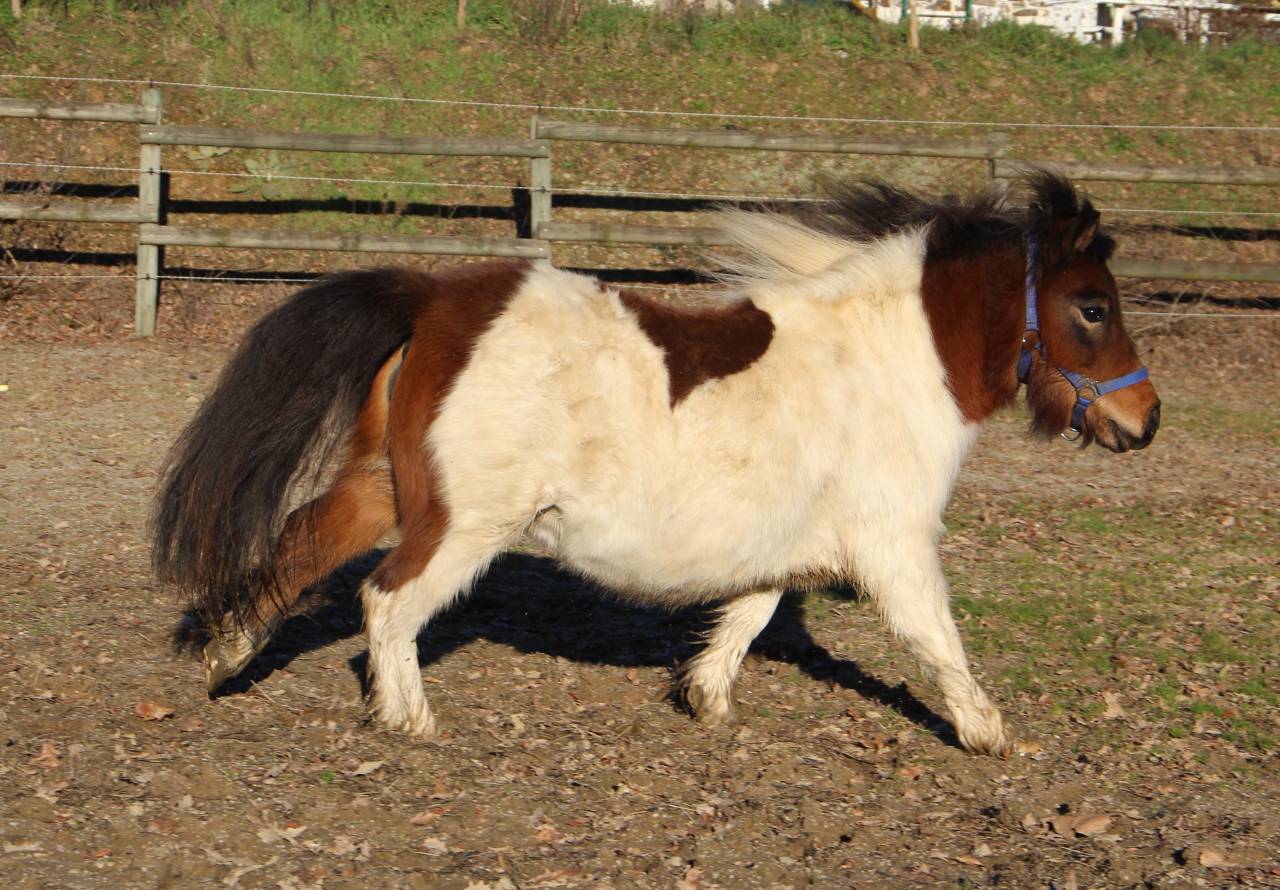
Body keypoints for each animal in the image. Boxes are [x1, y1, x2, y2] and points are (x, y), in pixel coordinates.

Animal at [153, 171, 1160, 756]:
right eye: (1093, 307)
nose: (1146, 421)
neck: (890, 360)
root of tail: (435, 298)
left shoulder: (789, 543)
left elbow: (748, 618)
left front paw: (705, 701)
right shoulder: (897, 548)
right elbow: (937, 640)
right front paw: (989, 734)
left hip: (386, 491)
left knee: (301, 545)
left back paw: (227, 655)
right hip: (464, 524)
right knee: (387, 601)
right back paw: (409, 720)